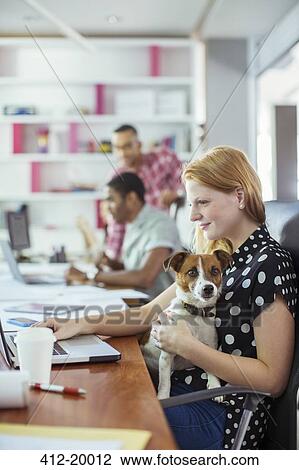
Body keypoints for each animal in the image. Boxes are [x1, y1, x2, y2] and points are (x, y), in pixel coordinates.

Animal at [141, 250, 232, 400]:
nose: (208, 288)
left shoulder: (209, 347)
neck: (196, 312)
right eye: (192, 272)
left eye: (215, 270)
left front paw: (214, 385)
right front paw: (163, 397)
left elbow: (211, 367)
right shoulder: (166, 356)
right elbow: (165, 382)